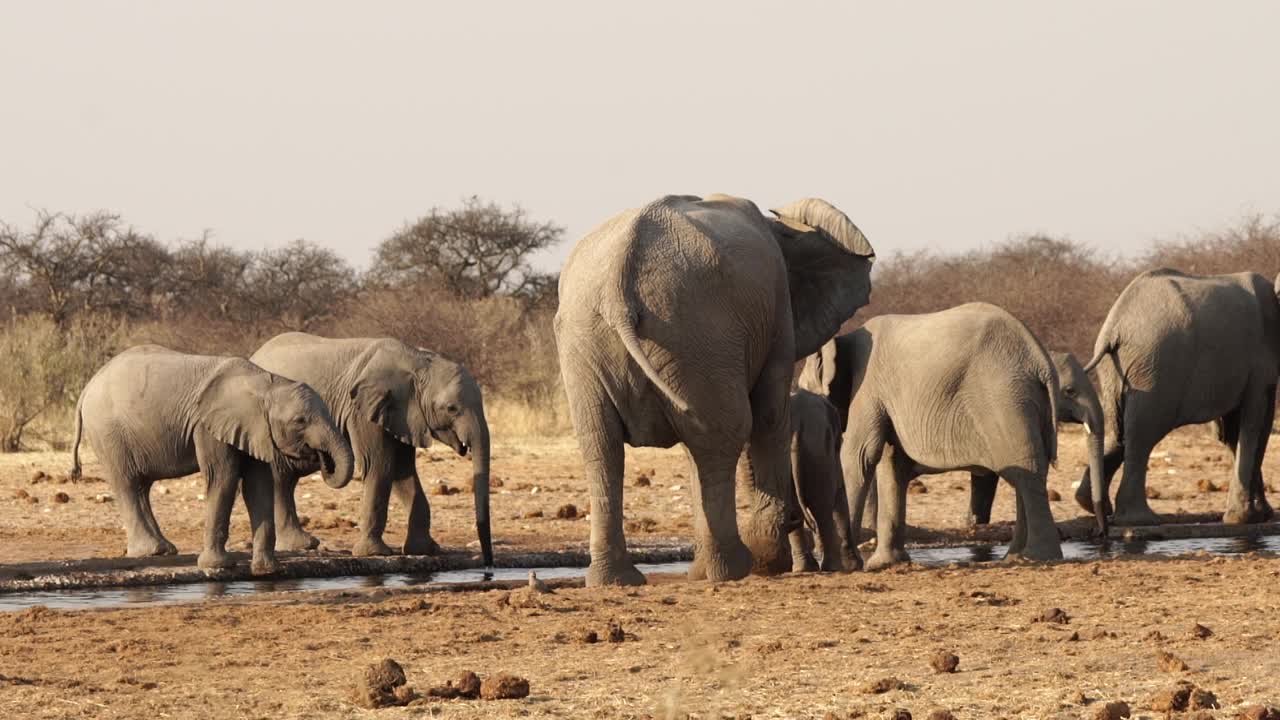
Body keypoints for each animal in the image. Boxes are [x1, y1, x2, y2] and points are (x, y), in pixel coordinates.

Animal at [70, 340, 355, 571]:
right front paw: (217, 566)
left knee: (141, 487)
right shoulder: (208, 427)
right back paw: (151, 551)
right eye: (300, 421)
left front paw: (267, 570)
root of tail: (86, 388)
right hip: (109, 434)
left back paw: (163, 549)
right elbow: (223, 479)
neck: (266, 384)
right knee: (127, 484)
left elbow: (258, 485)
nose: (321, 458)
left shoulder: (253, 429)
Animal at [783, 389, 855, 568]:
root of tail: (795, 428)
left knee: (795, 511)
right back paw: (833, 567)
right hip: (818, 449)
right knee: (822, 507)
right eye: (839, 443)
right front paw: (854, 566)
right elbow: (839, 495)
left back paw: (806, 568)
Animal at [803, 299, 1105, 568]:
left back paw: (1037, 556)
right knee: (1028, 472)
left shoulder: (867, 387)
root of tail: (1039, 358)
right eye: (1070, 392)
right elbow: (892, 465)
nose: (1101, 534)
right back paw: (1015, 557)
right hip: (1025, 400)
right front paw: (885, 563)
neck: (844, 338)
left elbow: (860, 456)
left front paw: (852, 564)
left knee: (1025, 470)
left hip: (1003, 398)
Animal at [1075, 267, 1274, 520]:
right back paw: (1142, 519)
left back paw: (1092, 505)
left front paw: (1257, 515)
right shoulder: (1262, 356)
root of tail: (1115, 328)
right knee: (1143, 433)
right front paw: (1247, 518)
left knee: (1118, 432)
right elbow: (1256, 421)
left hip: (1118, 369)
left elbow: (1233, 430)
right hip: (1156, 367)